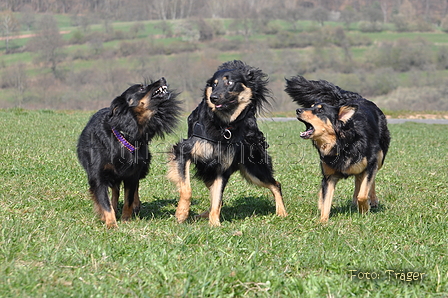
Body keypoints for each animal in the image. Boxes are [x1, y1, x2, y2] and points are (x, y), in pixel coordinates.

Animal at [78, 77, 181, 228]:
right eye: (141, 88)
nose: (162, 79)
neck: (125, 135)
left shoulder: (132, 173)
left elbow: (129, 198)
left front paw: (126, 219)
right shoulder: (98, 177)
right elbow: (105, 203)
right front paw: (111, 223)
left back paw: (135, 206)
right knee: (115, 190)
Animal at [167, 61, 288, 228]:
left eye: (229, 83)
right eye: (214, 84)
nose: (213, 97)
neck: (223, 125)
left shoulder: (221, 168)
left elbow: (217, 199)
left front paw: (214, 224)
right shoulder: (183, 153)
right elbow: (187, 189)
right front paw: (182, 214)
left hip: (254, 168)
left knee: (276, 184)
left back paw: (282, 212)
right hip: (208, 172)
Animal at [286, 75, 390, 222]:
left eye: (319, 111)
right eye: (311, 107)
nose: (298, 110)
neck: (341, 144)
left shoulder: (371, 164)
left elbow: (363, 193)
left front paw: (364, 208)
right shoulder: (329, 177)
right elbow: (326, 202)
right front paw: (322, 222)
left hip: (380, 156)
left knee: (369, 181)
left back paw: (373, 200)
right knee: (358, 179)